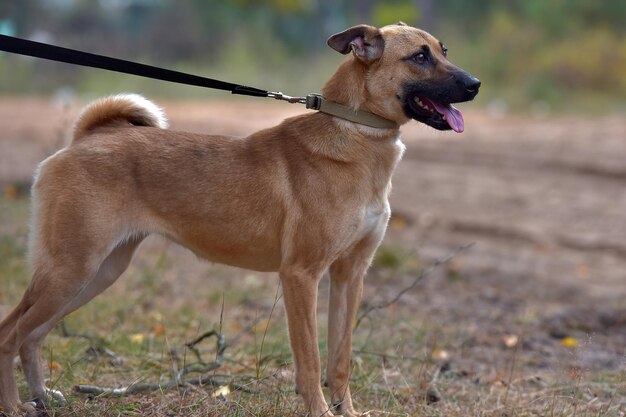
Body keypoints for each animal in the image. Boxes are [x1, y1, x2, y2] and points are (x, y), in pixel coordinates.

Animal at [0, 23, 478, 416]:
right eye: (419, 57)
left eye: (443, 50)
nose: (475, 84)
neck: (357, 136)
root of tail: (84, 140)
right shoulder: (301, 276)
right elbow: (311, 363)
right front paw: (321, 411)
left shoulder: (349, 276)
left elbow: (339, 361)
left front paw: (347, 411)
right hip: (70, 270)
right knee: (10, 333)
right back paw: (14, 405)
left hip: (96, 273)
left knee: (32, 335)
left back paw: (41, 397)